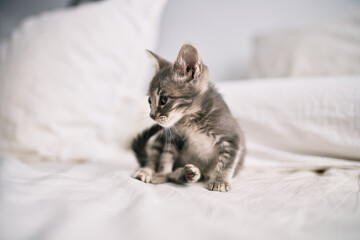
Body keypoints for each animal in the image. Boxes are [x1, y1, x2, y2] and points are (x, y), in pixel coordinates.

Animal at [131, 43, 246, 191]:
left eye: (163, 99)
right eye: (149, 100)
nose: (152, 116)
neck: (191, 121)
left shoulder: (231, 136)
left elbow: (227, 162)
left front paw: (220, 181)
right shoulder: (173, 137)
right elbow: (166, 157)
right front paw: (162, 174)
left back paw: (189, 173)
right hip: (160, 138)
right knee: (153, 158)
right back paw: (149, 171)